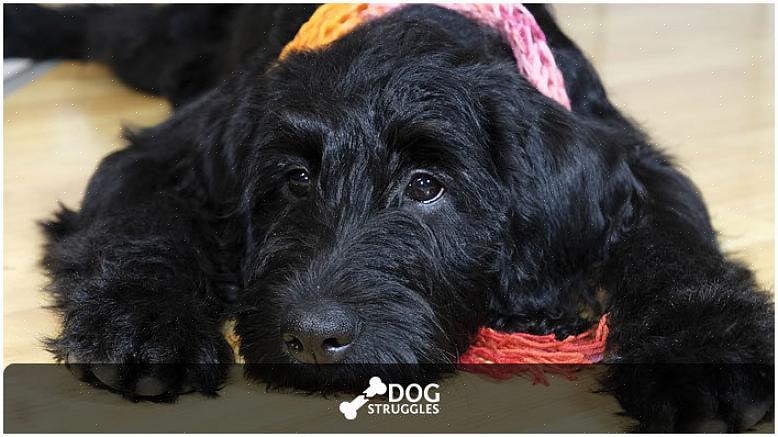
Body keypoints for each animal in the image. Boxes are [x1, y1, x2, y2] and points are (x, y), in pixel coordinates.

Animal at [4, 3, 768, 430]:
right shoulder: (167, 153)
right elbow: (143, 224)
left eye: (427, 186)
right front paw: (143, 321)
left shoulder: (636, 163)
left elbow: (672, 243)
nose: (313, 338)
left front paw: (702, 348)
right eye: (295, 178)